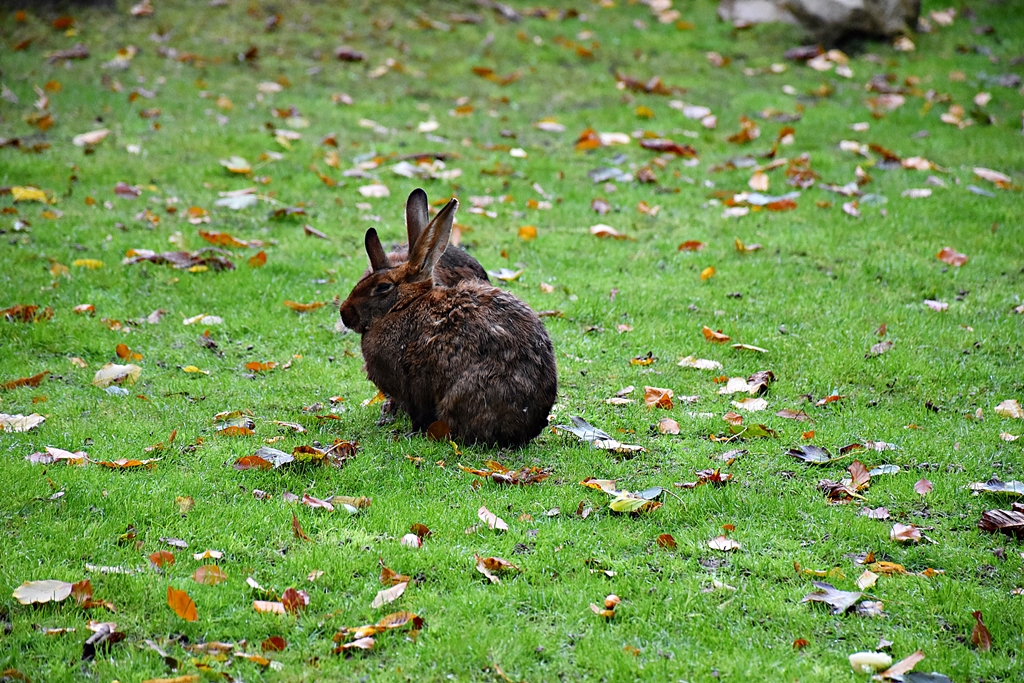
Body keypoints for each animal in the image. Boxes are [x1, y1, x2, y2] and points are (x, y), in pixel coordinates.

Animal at [340, 197, 557, 447]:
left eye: (382, 287)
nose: (344, 314)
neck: (403, 306)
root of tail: (528, 426)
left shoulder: (413, 385)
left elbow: (419, 412)